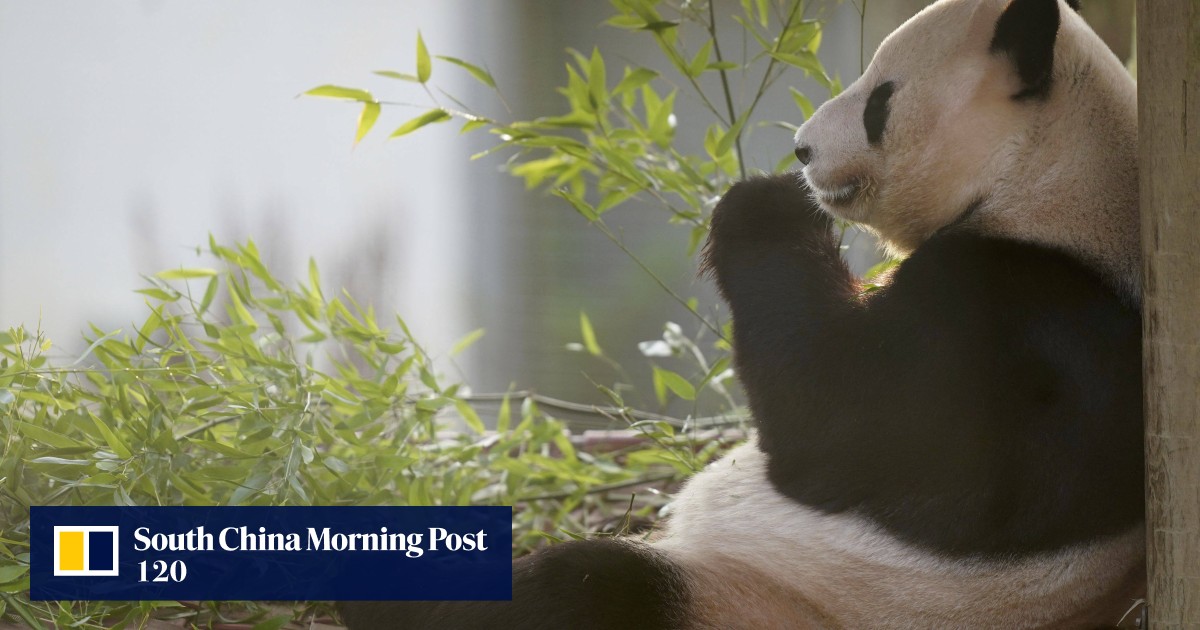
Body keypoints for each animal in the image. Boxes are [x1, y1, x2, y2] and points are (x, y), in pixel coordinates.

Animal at [340, 0, 1143, 627]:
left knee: (586, 593)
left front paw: (762, 202)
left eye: (880, 99)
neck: (1047, 177)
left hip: (759, 604)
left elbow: (847, 425)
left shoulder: (1019, 307)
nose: (803, 147)